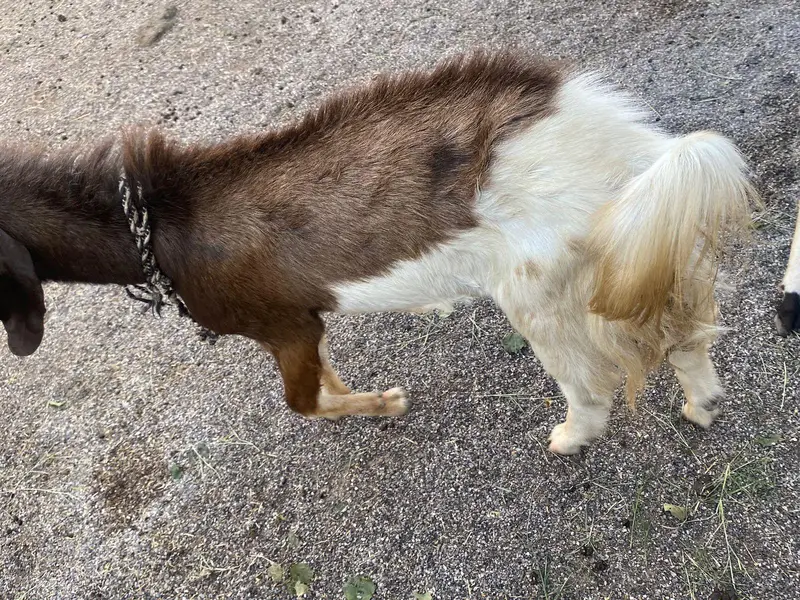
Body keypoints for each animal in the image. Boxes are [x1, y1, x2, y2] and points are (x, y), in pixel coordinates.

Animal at [0, 51, 757, 454]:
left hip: (547, 287)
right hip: (641, 250)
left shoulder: (281, 324)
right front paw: (360, 396)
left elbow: (303, 402)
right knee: (684, 332)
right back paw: (703, 404)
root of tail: (634, 155)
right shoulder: (300, 322)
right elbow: (320, 378)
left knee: (596, 383)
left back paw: (570, 437)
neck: (162, 224)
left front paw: (384, 405)